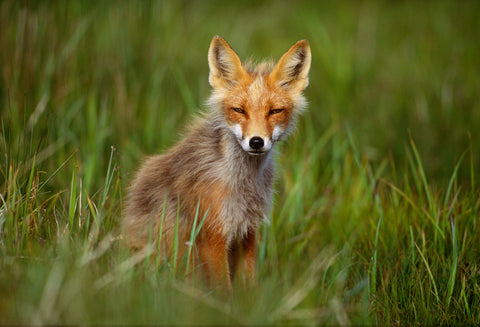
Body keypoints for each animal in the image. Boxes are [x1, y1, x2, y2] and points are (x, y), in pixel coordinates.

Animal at [124, 36, 312, 290]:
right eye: (239, 110)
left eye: (275, 111)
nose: (256, 141)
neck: (243, 185)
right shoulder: (213, 235)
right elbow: (224, 290)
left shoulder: (247, 231)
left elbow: (249, 286)